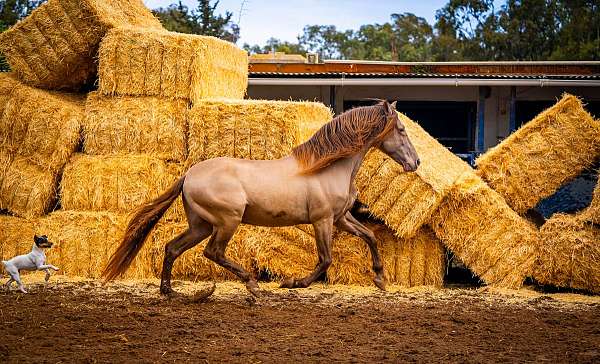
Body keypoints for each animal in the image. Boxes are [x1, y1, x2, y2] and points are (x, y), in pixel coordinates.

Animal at [102, 99, 418, 296]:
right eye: (401, 130)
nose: (416, 162)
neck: (327, 167)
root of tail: (189, 175)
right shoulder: (323, 220)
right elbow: (325, 260)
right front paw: (293, 283)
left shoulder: (340, 218)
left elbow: (370, 237)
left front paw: (380, 279)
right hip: (227, 221)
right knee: (213, 253)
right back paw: (252, 286)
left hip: (200, 225)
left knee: (172, 248)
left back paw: (169, 292)